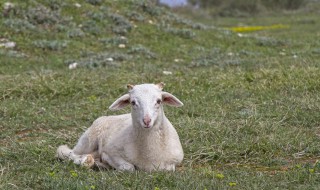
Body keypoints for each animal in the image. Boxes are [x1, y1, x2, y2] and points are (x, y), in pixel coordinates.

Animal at [56, 82, 184, 171]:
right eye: (133, 102)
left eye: (159, 101)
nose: (147, 121)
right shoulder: (111, 151)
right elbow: (129, 167)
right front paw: (106, 162)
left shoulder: (174, 161)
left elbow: (168, 168)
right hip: (88, 140)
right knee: (67, 152)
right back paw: (85, 161)